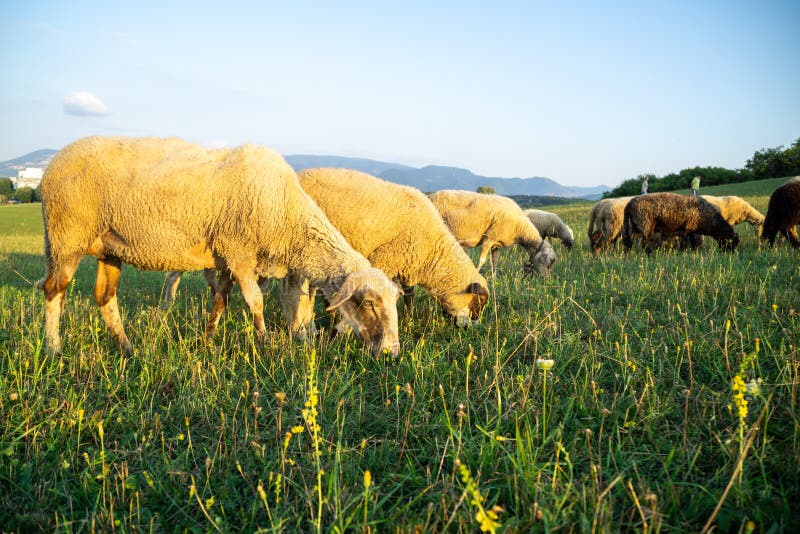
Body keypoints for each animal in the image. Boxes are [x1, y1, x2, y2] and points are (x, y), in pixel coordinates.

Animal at [39, 136, 400, 358]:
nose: (391, 352)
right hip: (66, 237)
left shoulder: (226, 258)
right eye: (368, 304)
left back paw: (127, 348)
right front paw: (264, 344)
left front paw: (209, 340)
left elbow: (221, 301)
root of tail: (53, 162)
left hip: (109, 248)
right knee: (54, 290)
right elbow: (254, 301)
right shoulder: (239, 253)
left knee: (105, 298)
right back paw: (54, 348)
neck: (288, 215)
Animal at [284, 170, 490, 332]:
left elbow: (409, 295)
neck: (434, 254)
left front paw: (408, 319)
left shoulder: (408, 264)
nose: (470, 329)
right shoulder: (384, 260)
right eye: (478, 303)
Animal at [424, 191, 556, 276]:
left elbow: (494, 262)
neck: (520, 229)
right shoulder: (489, 238)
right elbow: (482, 260)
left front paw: (494, 279)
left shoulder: (496, 244)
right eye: (549, 263)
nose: (546, 280)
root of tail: (429, 196)